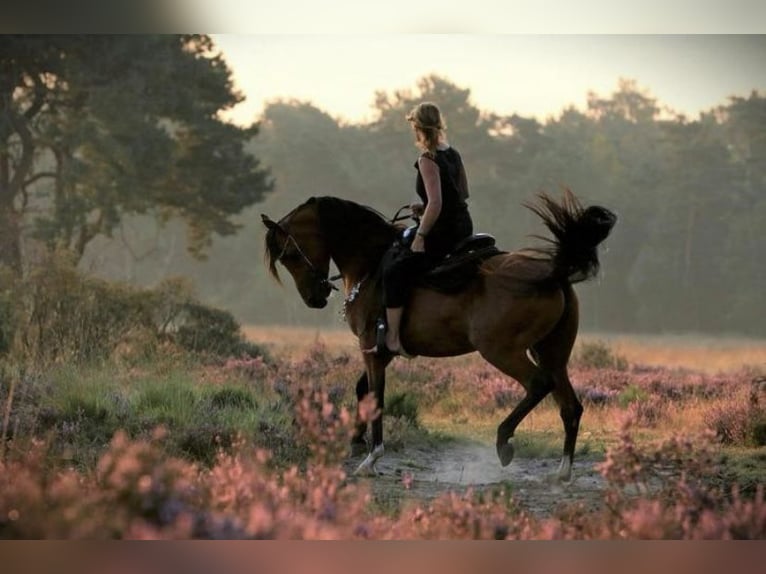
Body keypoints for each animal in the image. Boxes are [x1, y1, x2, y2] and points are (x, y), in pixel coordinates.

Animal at [264, 192, 616, 482]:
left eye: (289, 255)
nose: (315, 297)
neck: (371, 265)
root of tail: (553, 273)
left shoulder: (371, 350)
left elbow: (376, 396)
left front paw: (371, 458)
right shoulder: (380, 351)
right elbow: (362, 390)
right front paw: (355, 441)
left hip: (502, 350)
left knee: (538, 384)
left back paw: (504, 442)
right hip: (552, 352)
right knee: (569, 405)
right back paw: (562, 471)